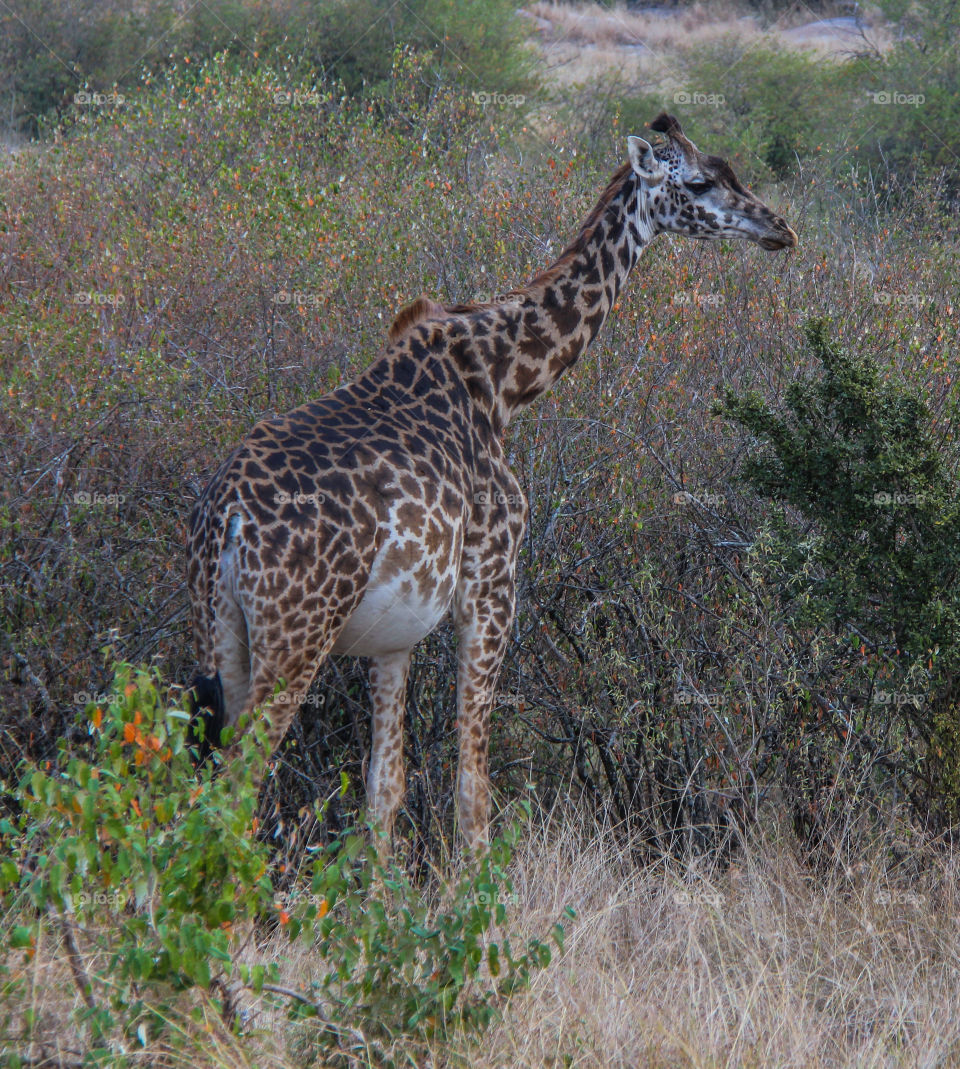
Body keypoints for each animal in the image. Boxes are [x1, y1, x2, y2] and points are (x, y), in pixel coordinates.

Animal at [186, 113, 797, 851]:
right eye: (701, 181)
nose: (780, 228)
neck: (505, 380)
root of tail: (227, 520)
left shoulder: (396, 633)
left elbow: (384, 792)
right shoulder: (491, 584)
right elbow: (473, 792)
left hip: (223, 632)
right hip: (296, 634)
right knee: (232, 788)